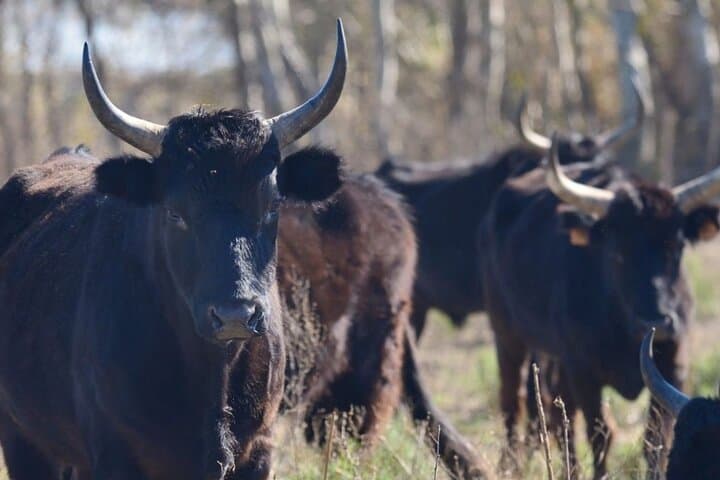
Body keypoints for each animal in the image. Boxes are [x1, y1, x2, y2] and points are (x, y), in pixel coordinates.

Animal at [0, 21, 346, 480]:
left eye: (273, 205)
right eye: (175, 212)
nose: (235, 315)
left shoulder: (259, 453)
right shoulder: (115, 453)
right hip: (23, 439)